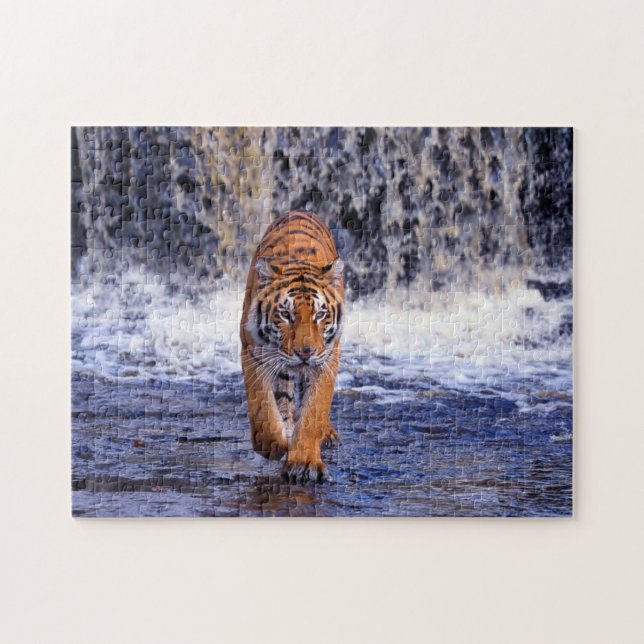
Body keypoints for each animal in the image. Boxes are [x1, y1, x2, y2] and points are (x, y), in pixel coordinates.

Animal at [240, 211, 345, 483]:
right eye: (286, 314)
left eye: (320, 314)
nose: (305, 353)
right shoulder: (254, 352)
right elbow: (262, 407)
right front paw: (274, 445)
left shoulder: (326, 359)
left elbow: (314, 410)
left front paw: (304, 462)